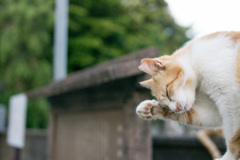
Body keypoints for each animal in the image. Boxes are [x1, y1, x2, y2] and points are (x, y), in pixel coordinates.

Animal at [136, 31, 240, 160]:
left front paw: (229, 156)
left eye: (167, 92)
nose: (175, 109)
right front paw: (149, 109)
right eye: (164, 103)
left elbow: (234, 137)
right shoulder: (215, 111)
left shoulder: (230, 99)